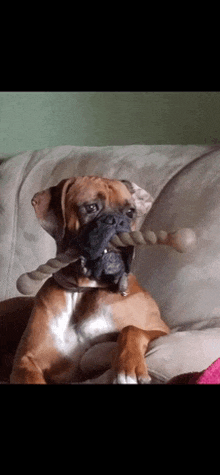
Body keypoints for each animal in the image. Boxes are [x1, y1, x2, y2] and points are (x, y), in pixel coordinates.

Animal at [9, 177, 168, 384]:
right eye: (91, 207)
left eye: (130, 212)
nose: (118, 221)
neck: (83, 290)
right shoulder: (25, 362)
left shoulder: (162, 330)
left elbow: (133, 329)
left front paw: (129, 367)